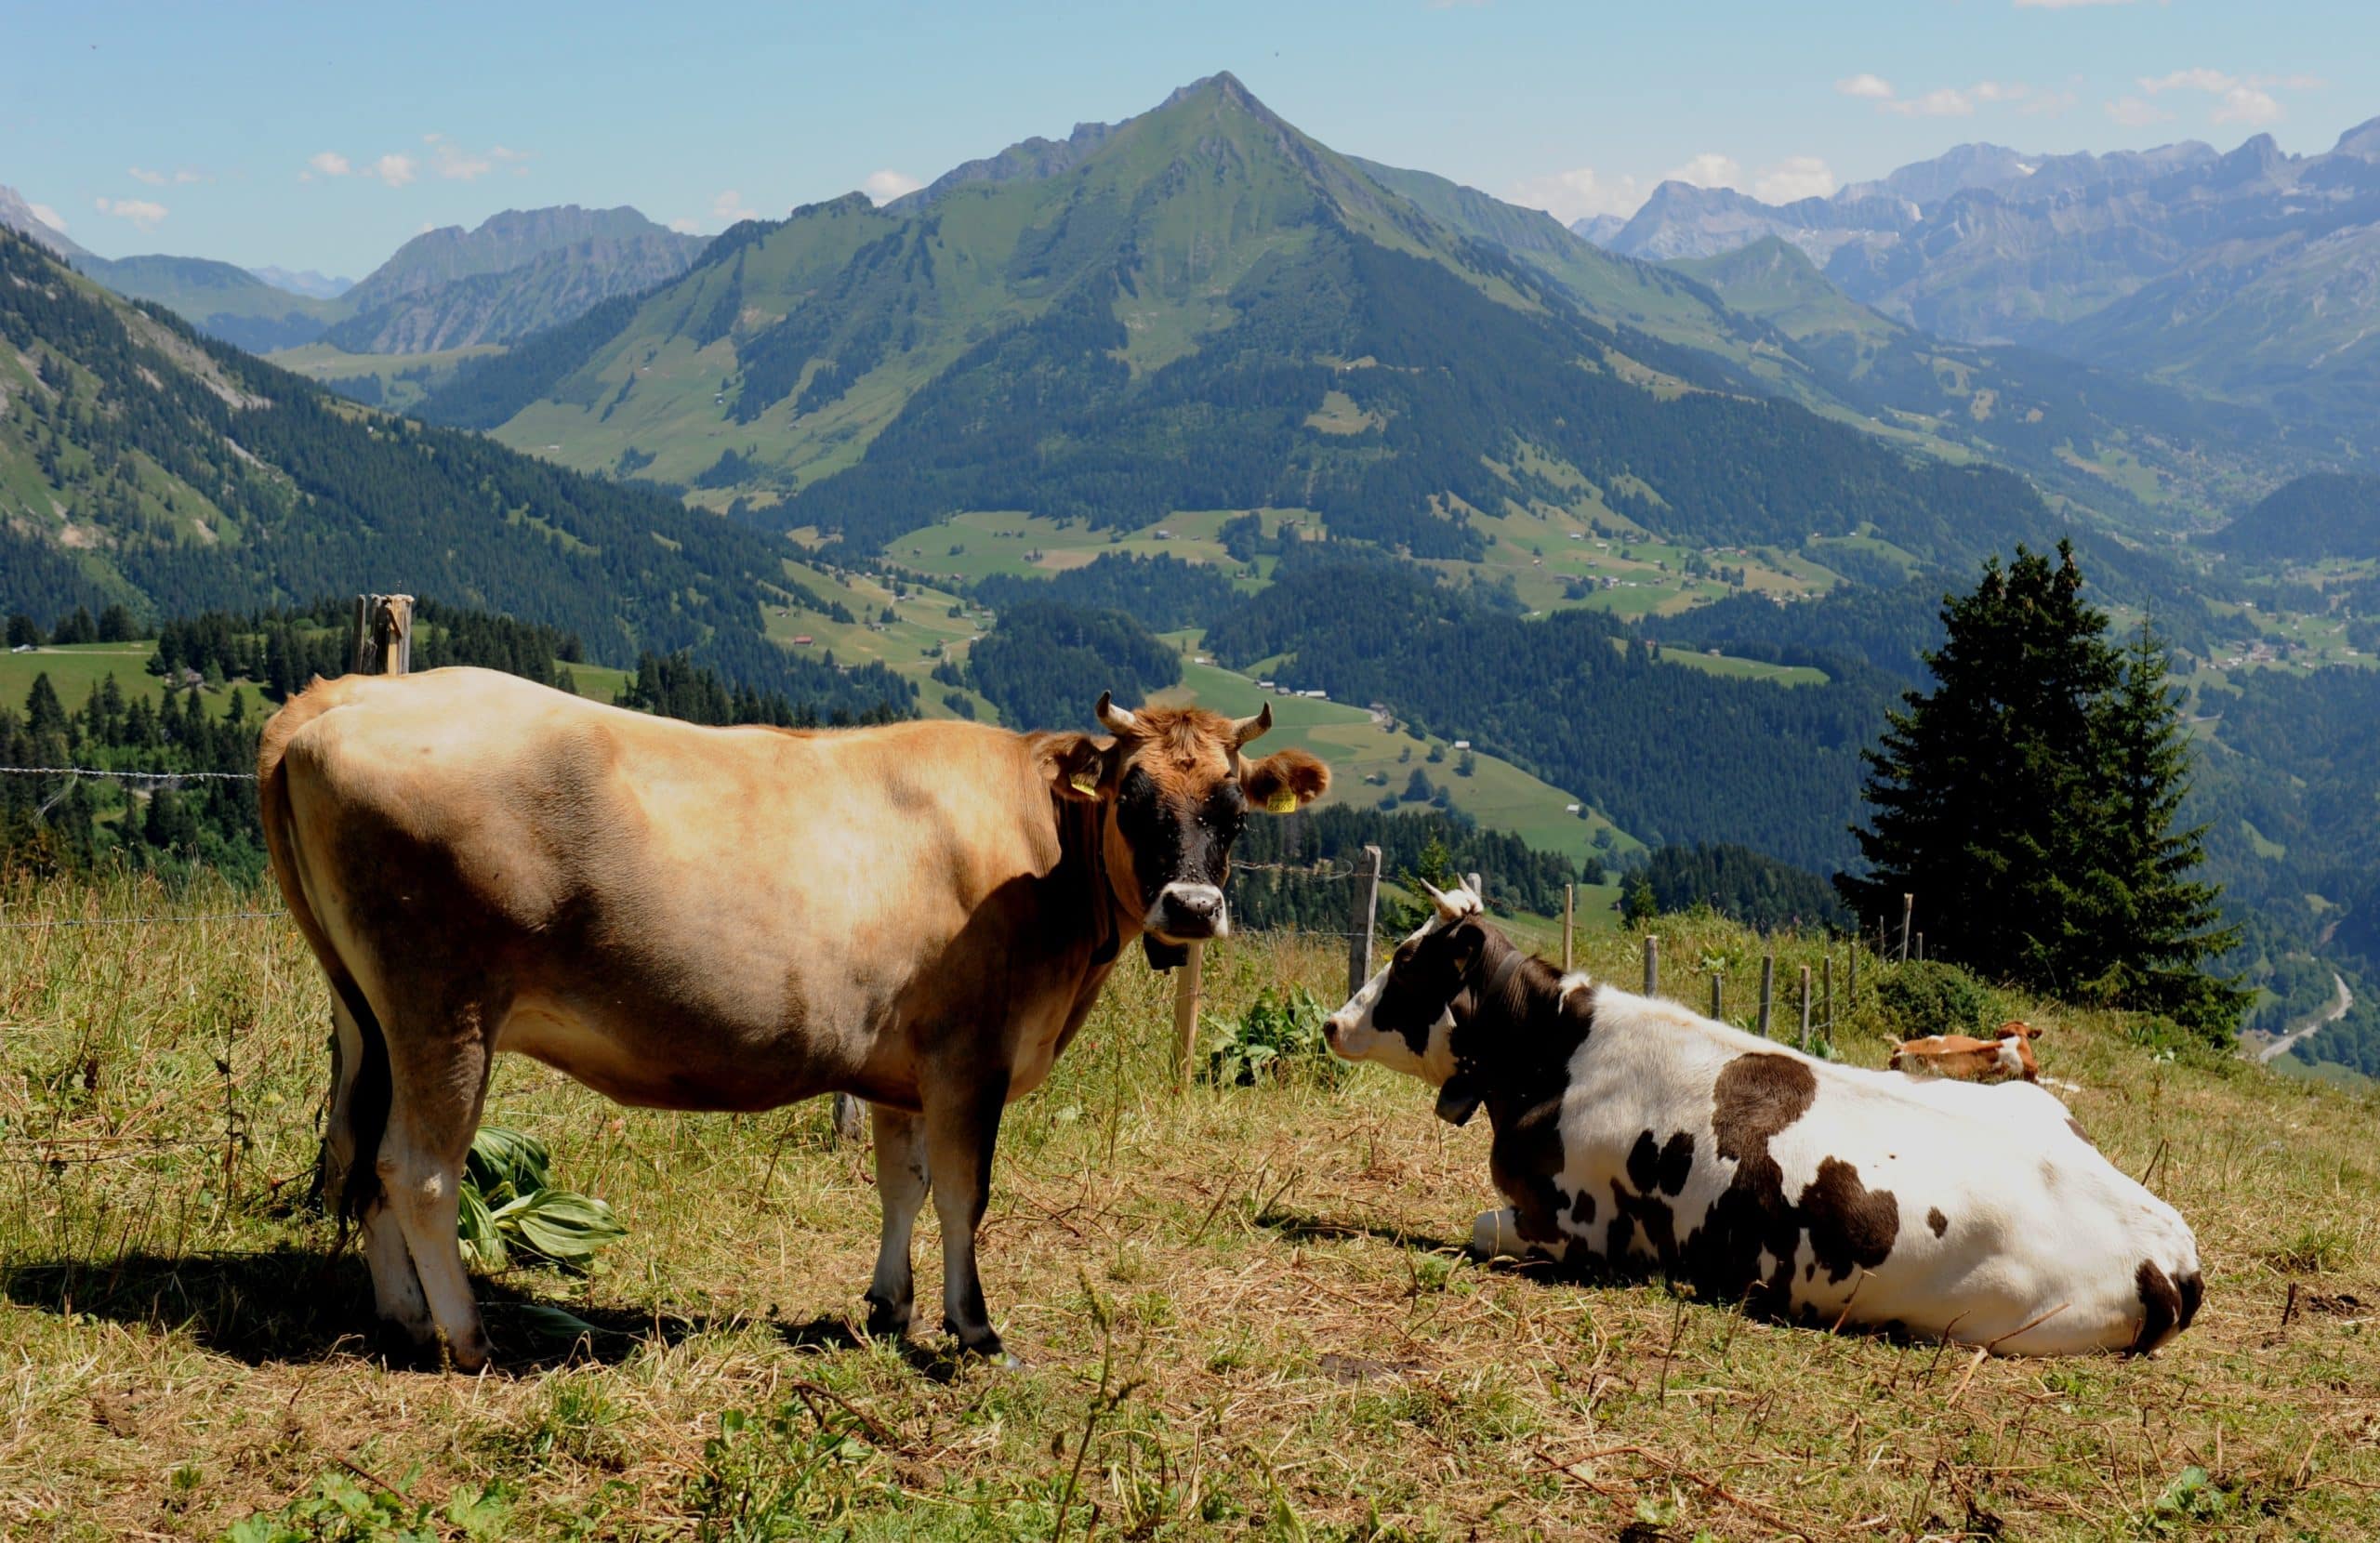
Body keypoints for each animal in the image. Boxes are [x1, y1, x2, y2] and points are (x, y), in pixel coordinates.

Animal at [272, 666, 1342, 1371]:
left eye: (1235, 809)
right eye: (1130, 797)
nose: (1191, 909)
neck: (1040, 856)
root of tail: (346, 695)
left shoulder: (905, 1067)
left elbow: (903, 1185)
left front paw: (888, 1306)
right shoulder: (972, 1055)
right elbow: (965, 1193)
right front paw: (973, 1328)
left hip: (367, 1011)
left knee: (362, 1153)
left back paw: (404, 1320)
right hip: (441, 1003)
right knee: (420, 1166)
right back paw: (466, 1335)